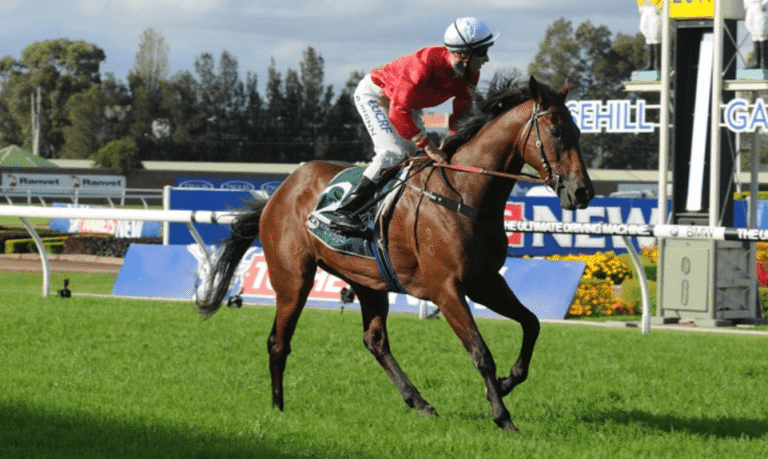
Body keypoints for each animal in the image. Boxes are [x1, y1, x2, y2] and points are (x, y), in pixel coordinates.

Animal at [196, 75, 594, 433]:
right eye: (557, 132)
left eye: (578, 131)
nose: (583, 192)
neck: (464, 193)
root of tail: (279, 192)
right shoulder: (446, 288)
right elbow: (481, 352)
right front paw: (503, 417)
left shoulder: (484, 280)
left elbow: (532, 323)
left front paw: (507, 384)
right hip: (293, 279)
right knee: (278, 342)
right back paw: (278, 407)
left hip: (367, 280)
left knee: (375, 341)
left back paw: (419, 402)